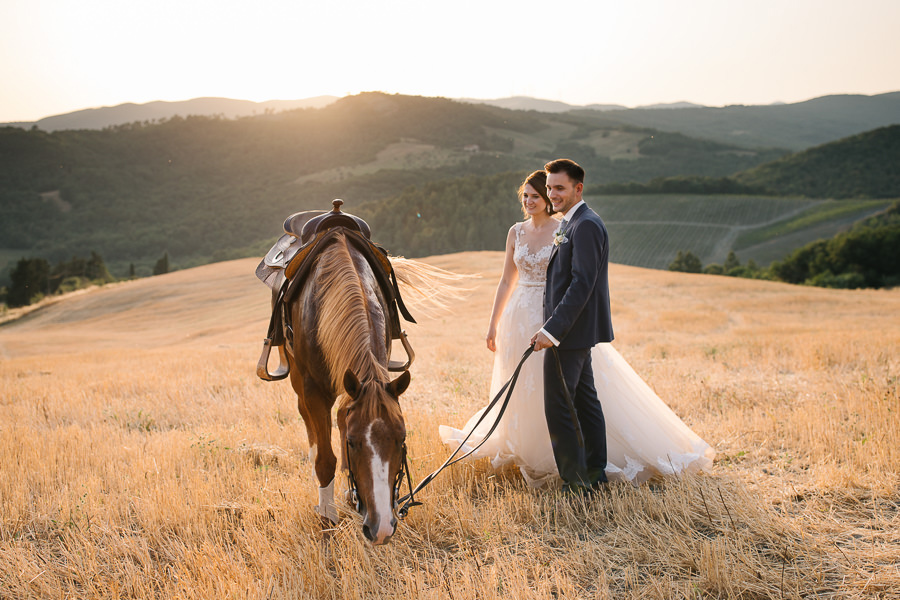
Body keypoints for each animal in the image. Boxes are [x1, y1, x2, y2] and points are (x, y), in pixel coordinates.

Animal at [284, 229, 412, 544]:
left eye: (401, 439)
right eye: (352, 443)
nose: (381, 529)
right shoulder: (313, 391)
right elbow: (324, 460)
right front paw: (327, 518)